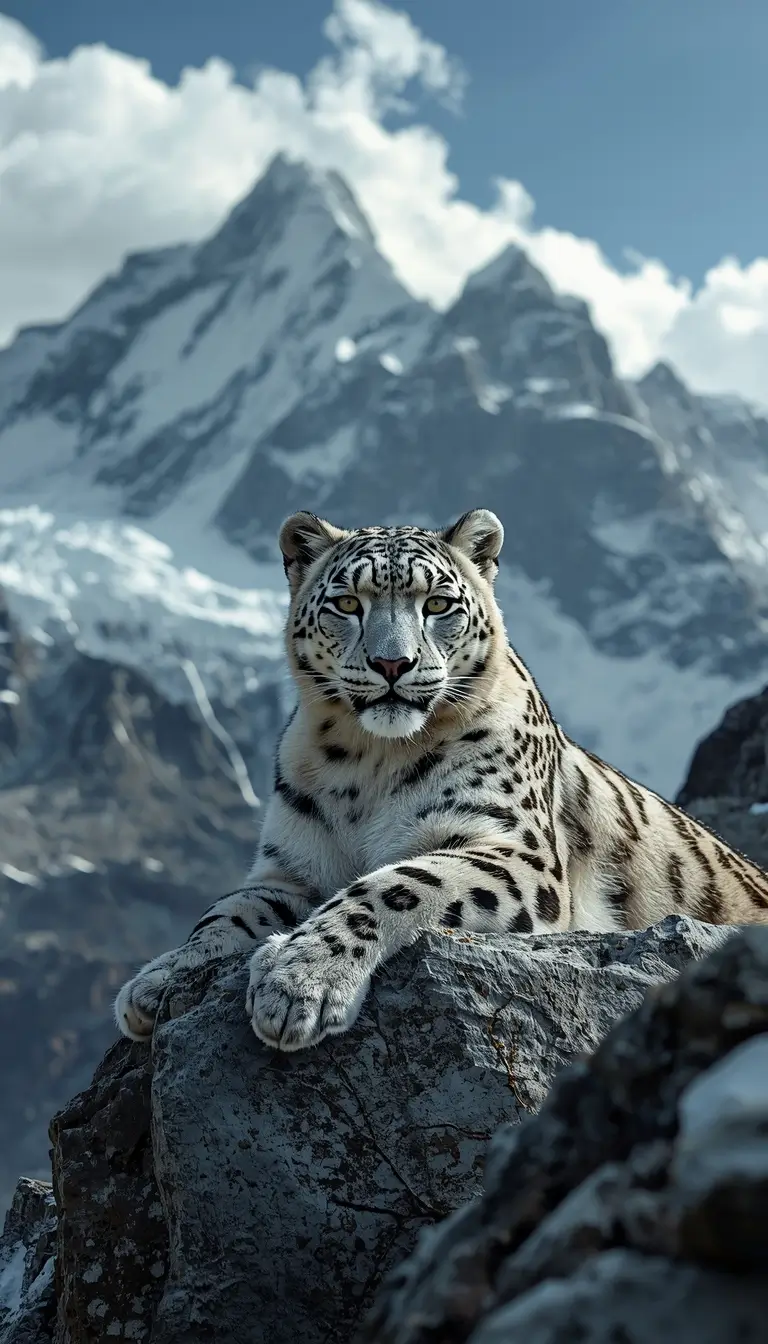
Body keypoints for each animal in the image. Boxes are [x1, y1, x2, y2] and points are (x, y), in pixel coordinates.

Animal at [115, 507, 768, 1053]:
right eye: (346, 604)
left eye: (437, 605)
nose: (392, 663)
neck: (366, 764)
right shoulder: (293, 866)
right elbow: (227, 910)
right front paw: (163, 977)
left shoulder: (511, 848)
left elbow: (399, 883)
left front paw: (300, 981)